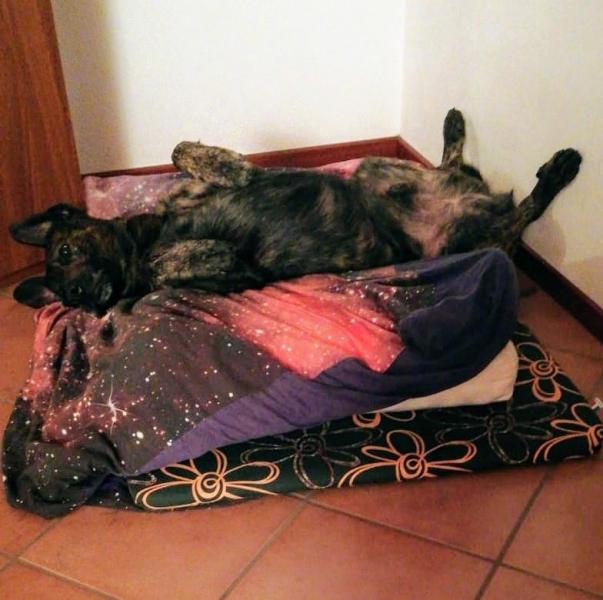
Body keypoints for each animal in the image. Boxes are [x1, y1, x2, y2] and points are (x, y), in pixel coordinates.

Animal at [9, 109, 582, 314]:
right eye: (65, 298)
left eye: (67, 249)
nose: (84, 297)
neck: (150, 233)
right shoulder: (235, 273)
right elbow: (173, 263)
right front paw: (180, 254)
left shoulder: (187, 189)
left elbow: (179, 149)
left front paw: (231, 166)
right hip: (469, 239)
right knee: (519, 219)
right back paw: (557, 171)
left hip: (375, 171)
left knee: (459, 171)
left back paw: (458, 125)